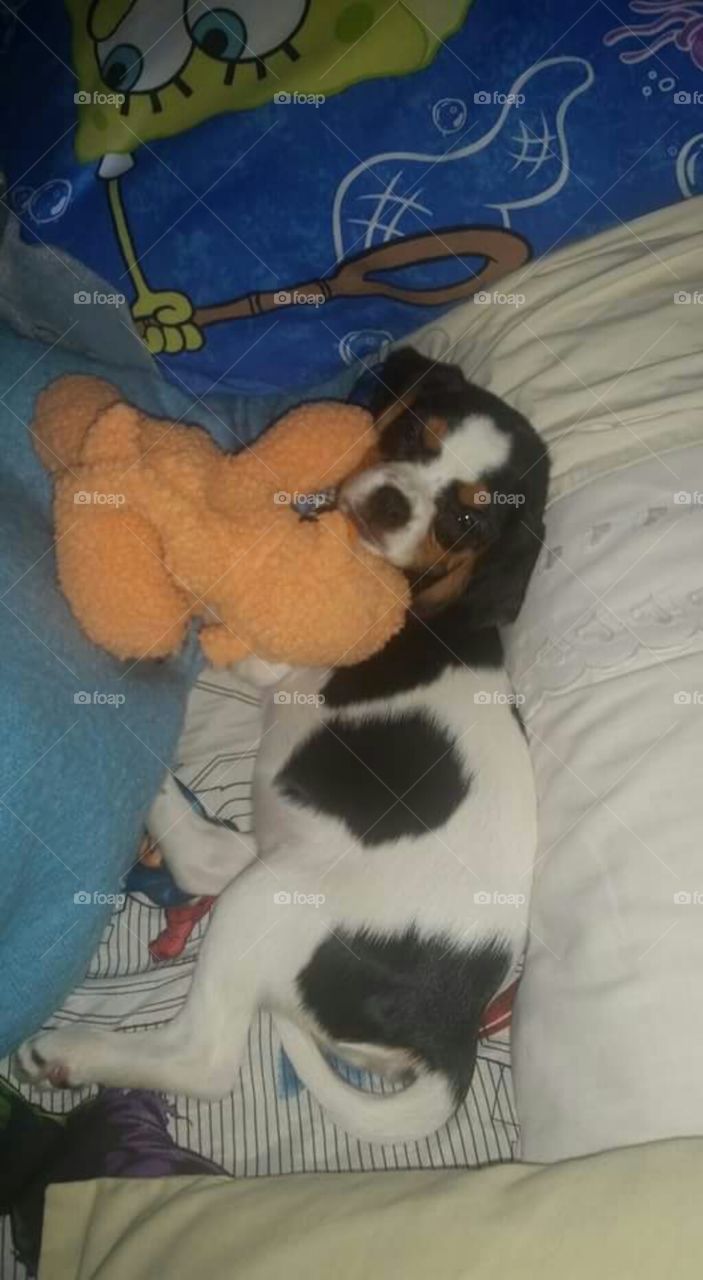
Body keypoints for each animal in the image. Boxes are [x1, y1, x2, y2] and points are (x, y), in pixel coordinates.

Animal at [17, 348, 548, 1141]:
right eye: (413, 435)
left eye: (465, 520)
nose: (391, 505)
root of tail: (453, 1035)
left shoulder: (269, 658)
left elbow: (225, 599)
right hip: (271, 860)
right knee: (209, 861)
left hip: (268, 899)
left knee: (204, 1056)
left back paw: (69, 1053)